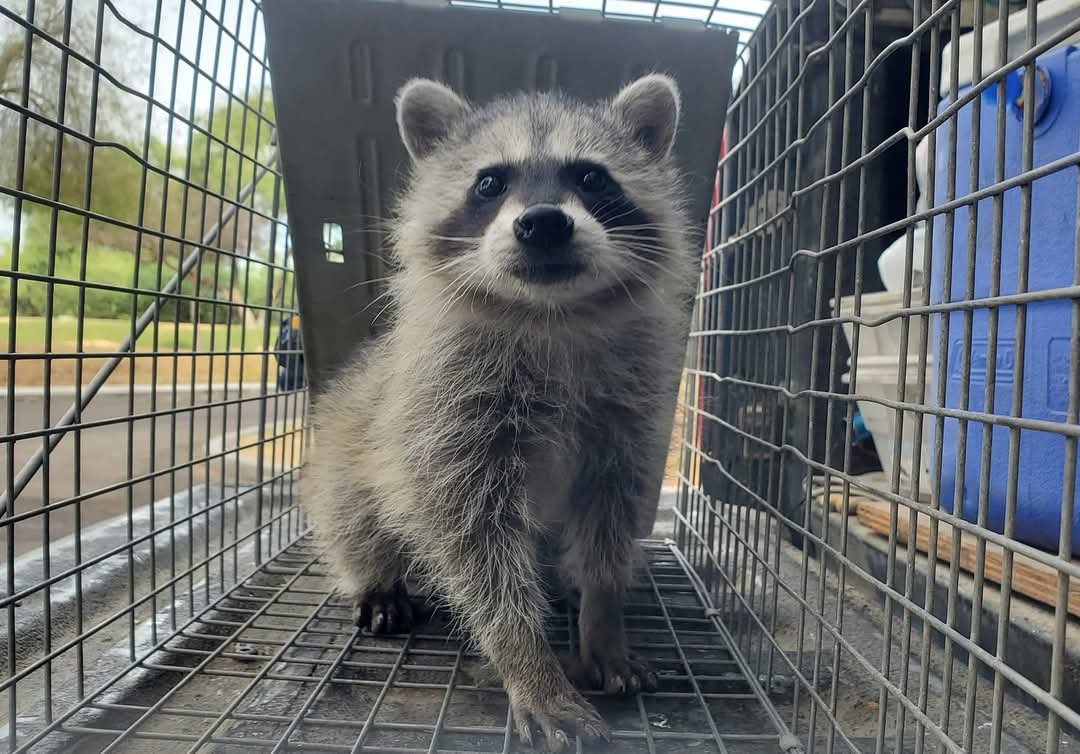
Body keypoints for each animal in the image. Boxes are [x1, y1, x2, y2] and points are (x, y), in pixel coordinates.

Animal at [303, 74, 696, 750]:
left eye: (591, 177)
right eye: (489, 183)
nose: (543, 223)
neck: (552, 313)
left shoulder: (630, 415)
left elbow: (610, 519)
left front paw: (603, 615)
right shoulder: (445, 414)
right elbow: (475, 545)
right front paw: (526, 659)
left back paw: (566, 585)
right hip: (347, 444)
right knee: (353, 515)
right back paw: (379, 577)